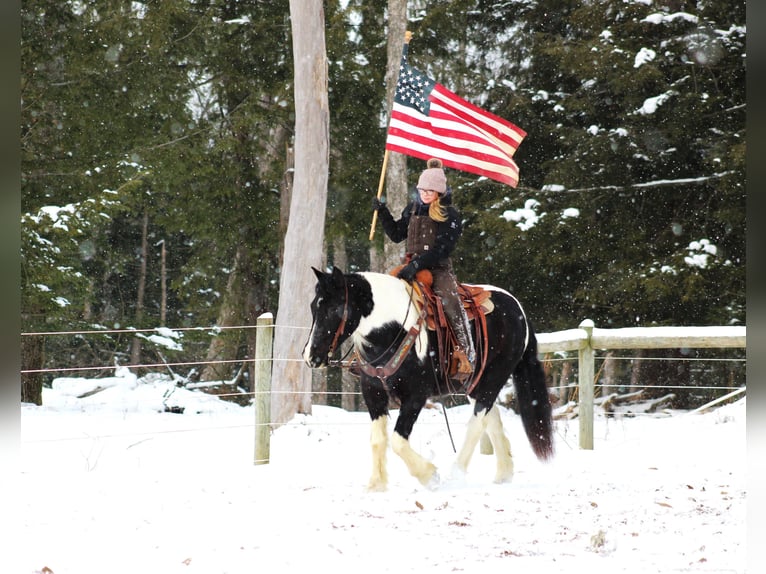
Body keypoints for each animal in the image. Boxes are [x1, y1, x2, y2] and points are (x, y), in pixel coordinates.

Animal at [304, 268, 556, 492]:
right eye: (314, 307)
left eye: (334, 308)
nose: (310, 356)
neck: (391, 330)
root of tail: (518, 308)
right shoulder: (373, 393)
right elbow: (377, 439)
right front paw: (376, 484)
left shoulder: (416, 395)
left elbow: (397, 441)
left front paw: (429, 476)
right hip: (477, 384)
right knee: (491, 417)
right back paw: (504, 473)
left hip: (494, 377)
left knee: (477, 422)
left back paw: (456, 474)